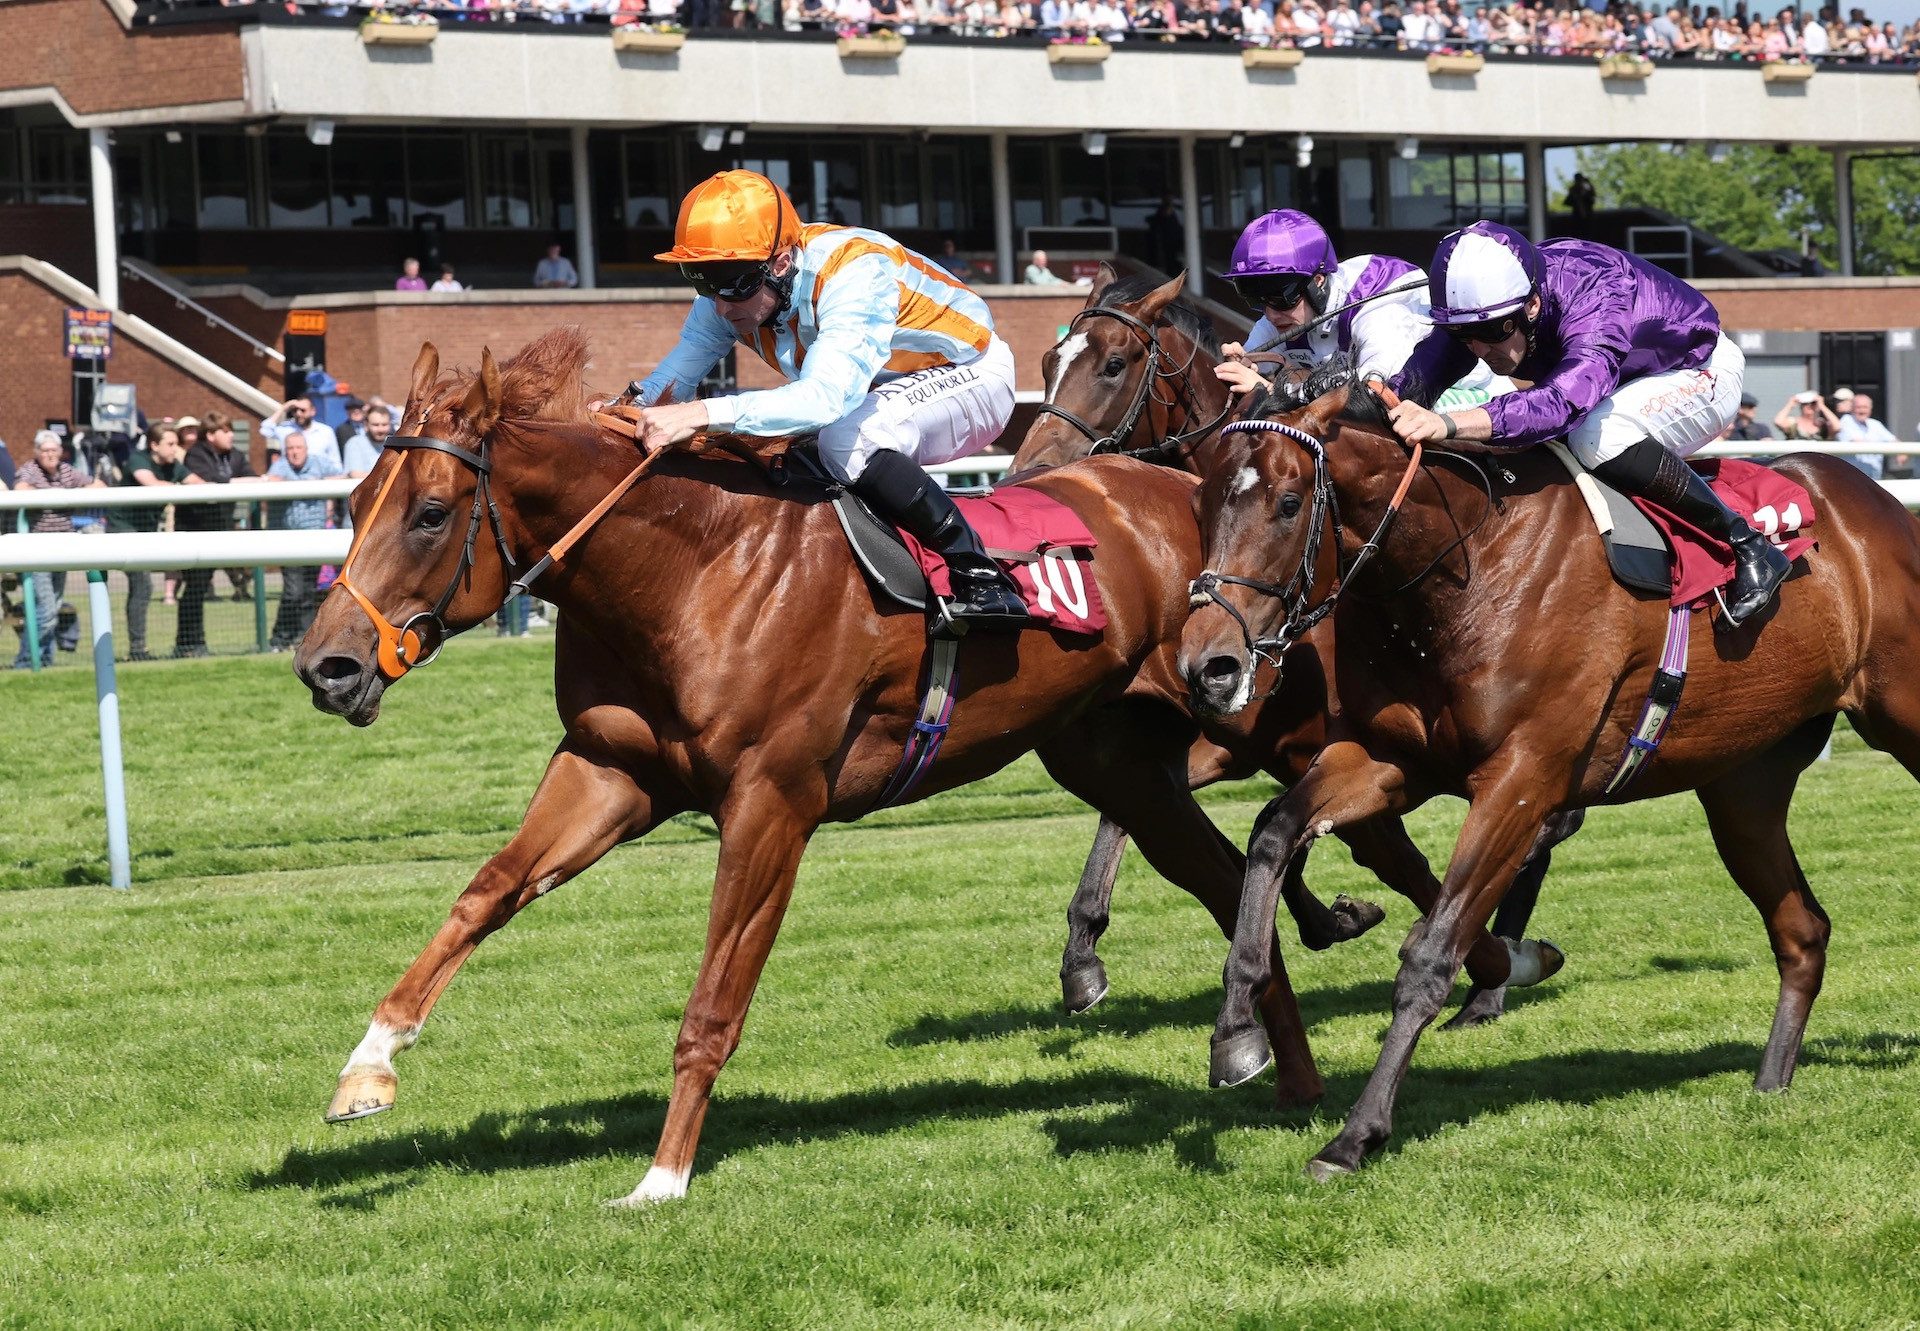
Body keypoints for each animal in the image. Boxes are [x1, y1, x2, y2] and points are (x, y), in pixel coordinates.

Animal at [295, 324, 1351, 1206]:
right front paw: (368, 1064)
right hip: (1111, 758)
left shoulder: (770, 803)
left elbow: (712, 1006)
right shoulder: (608, 769)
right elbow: (486, 891)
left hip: (1259, 710)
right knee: (1227, 877)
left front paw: (662, 1177)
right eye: (354, 502)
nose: (325, 665)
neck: (693, 568)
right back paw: (1277, 1063)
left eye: (432, 514)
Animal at [1013, 272, 1566, 1029]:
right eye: (1047, 361)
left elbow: (1385, 854)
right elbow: (1144, 810)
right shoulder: (1234, 740)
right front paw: (1083, 954)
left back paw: (1490, 983)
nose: (1029, 471)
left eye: (1114, 363)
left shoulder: (1326, 744)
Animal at [1175, 374, 1920, 1175]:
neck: (1466, 568)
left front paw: (1355, 1134)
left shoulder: (1521, 782)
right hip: (1744, 783)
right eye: (1201, 504)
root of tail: (1879, 504)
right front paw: (1236, 1029)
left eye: (1288, 503)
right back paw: (1771, 1079)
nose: (1209, 665)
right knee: (1802, 929)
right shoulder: (1390, 758)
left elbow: (1430, 955)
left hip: (1898, 714)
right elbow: (1273, 831)